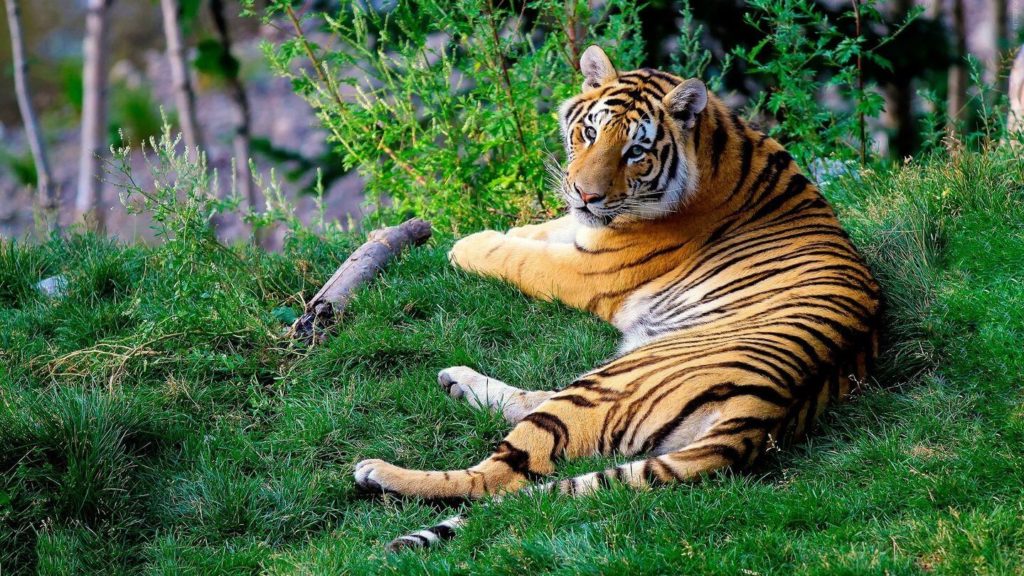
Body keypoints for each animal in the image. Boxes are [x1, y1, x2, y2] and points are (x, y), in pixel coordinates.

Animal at [354, 45, 881, 551]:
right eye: (588, 132)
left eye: (635, 152)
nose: (586, 194)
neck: (717, 145)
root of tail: (764, 415)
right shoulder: (584, 231)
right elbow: (543, 230)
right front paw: (508, 229)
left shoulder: (588, 269)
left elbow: (520, 258)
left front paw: (467, 244)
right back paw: (457, 382)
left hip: (609, 383)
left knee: (498, 476)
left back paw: (379, 472)